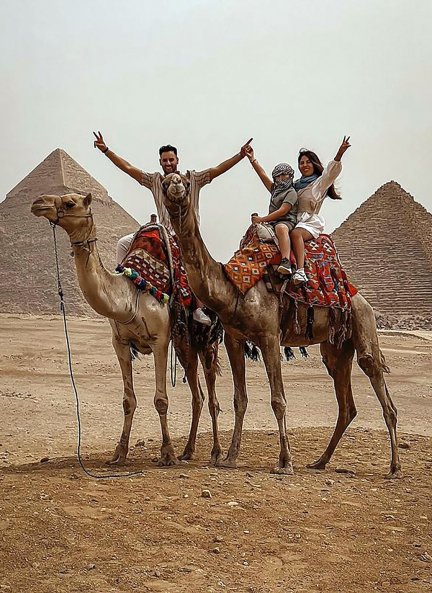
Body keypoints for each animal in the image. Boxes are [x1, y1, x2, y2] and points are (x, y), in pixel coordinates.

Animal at [30, 192, 223, 464]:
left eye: (69, 202)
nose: (38, 202)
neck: (130, 295)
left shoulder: (159, 340)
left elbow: (161, 400)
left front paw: (167, 453)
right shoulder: (119, 343)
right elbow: (127, 401)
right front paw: (119, 452)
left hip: (207, 342)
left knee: (212, 395)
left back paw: (215, 452)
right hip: (185, 344)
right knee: (198, 396)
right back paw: (188, 450)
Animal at [159, 173, 402, 478]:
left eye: (185, 181)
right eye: (165, 182)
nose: (175, 184)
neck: (233, 287)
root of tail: (358, 295)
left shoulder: (269, 336)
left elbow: (278, 400)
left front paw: (285, 462)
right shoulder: (234, 339)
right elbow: (240, 399)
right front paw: (230, 457)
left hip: (363, 322)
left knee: (380, 386)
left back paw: (394, 466)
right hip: (335, 347)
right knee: (346, 404)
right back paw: (320, 461)